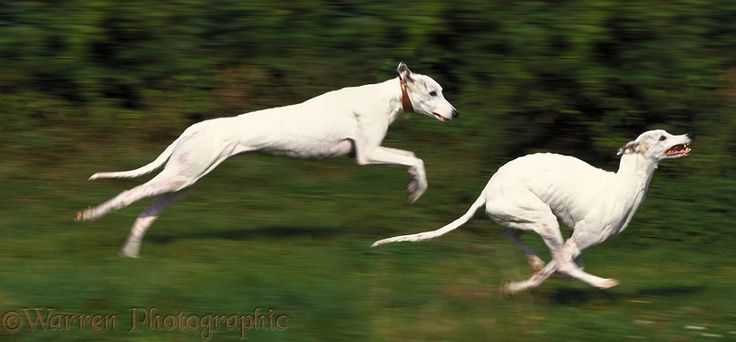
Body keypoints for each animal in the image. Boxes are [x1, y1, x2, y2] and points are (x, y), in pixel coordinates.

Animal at [376, 130, 692, 292]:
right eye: (662, 137)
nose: (688, 134)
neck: (623, 184)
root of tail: (488, 189)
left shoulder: (578, 242)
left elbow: (568, 263)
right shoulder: (577, 240)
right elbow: (564, 265)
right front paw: (518, 287)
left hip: (526, 216)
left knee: (511, 235)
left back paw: (536, 263)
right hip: (542, 216)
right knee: (559, 261)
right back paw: (601, 282)